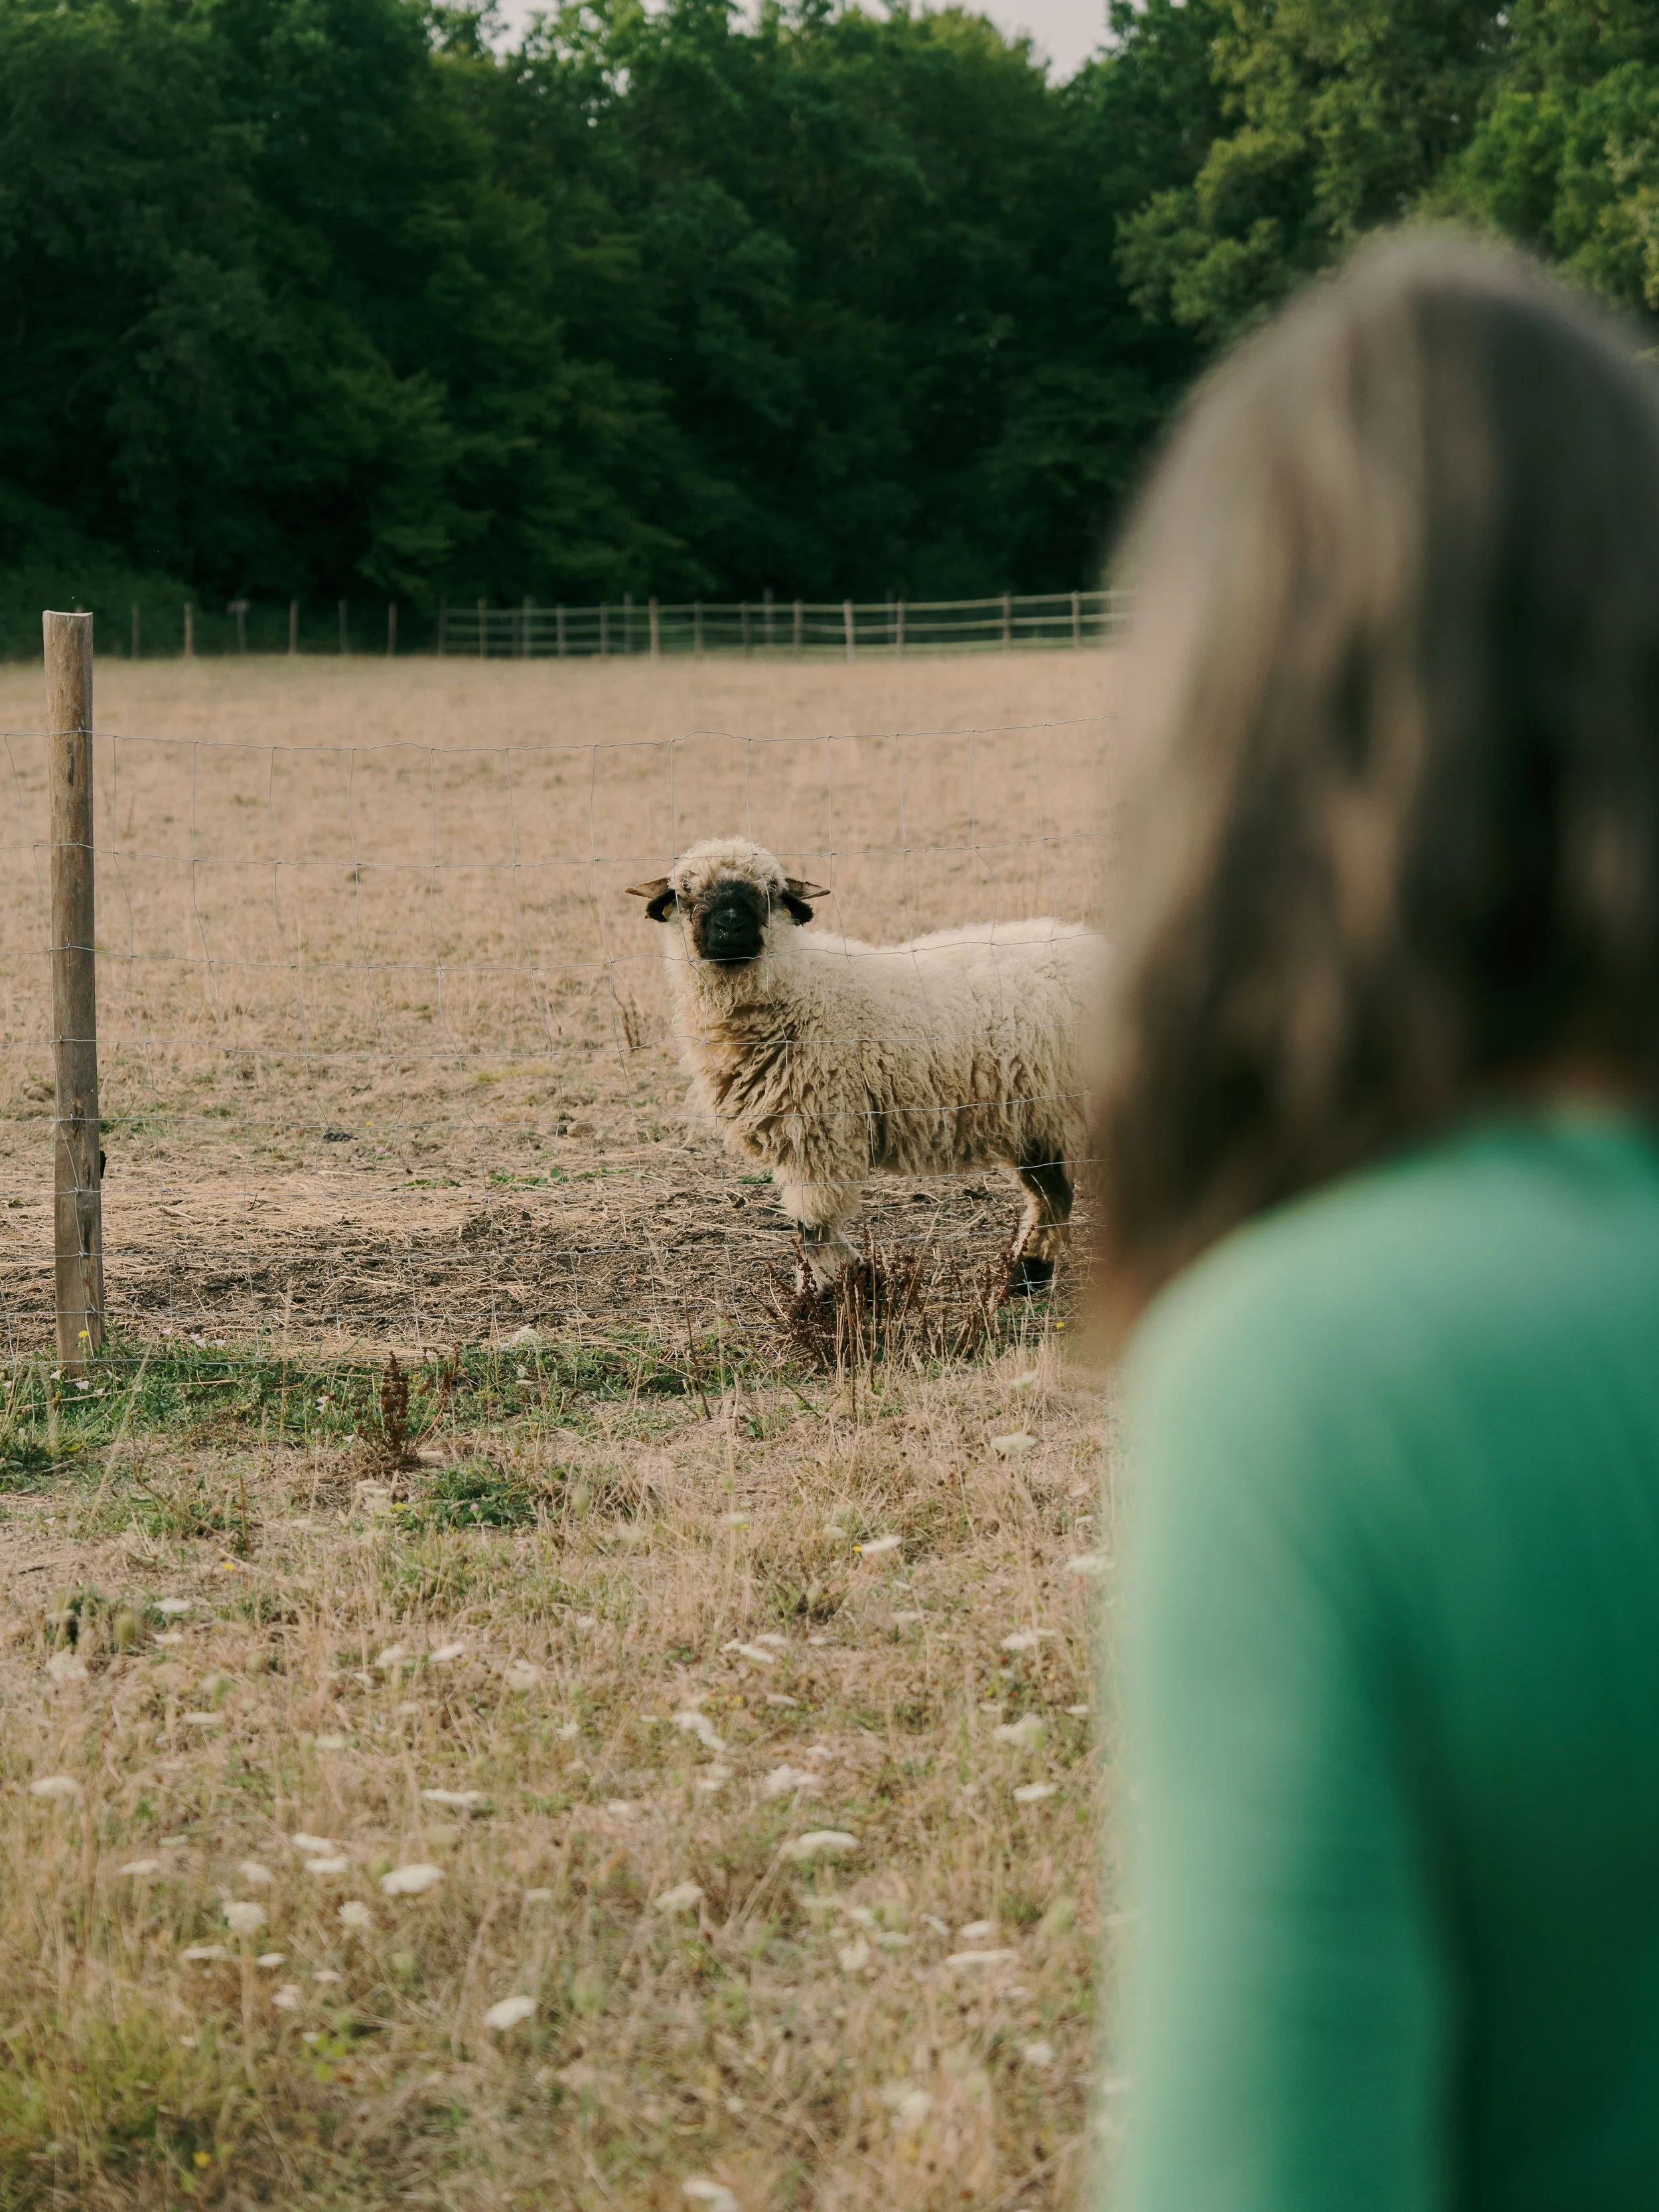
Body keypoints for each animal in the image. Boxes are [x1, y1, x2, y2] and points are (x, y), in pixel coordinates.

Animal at [626, 837, 1103, 1289]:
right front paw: (849, 1278)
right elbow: (813, 1227)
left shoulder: (821, 1131)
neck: (802, 989)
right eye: (685, 892)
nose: (730, 926)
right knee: (1051, 1196)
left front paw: (831, 1292)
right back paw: (1028, 1276)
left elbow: (813, 1226)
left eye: (770, 891)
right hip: (1039, 1119)